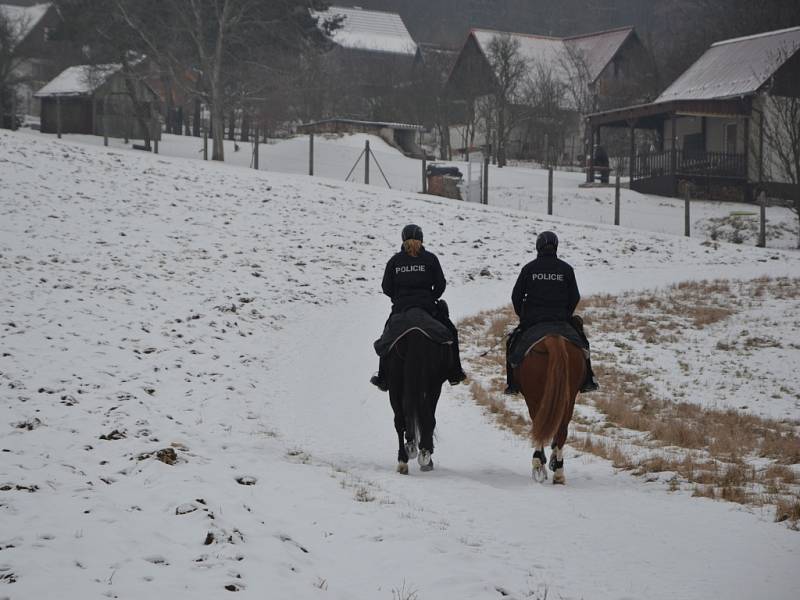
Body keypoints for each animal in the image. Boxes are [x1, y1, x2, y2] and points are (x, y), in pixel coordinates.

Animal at [386, 328, 454, 474]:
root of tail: (415, 333)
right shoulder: (434, 388)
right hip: (431, 386)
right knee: (427, 418)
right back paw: (423, 454)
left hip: (395, 385)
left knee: (399, 421)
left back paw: (403, 461)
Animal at [516, 336, 584, 486]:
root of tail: (554, 338)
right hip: (569, 397)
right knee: (562, 430)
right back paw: (558, 473)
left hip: (534, 397)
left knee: (538, 426)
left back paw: (538, 463)